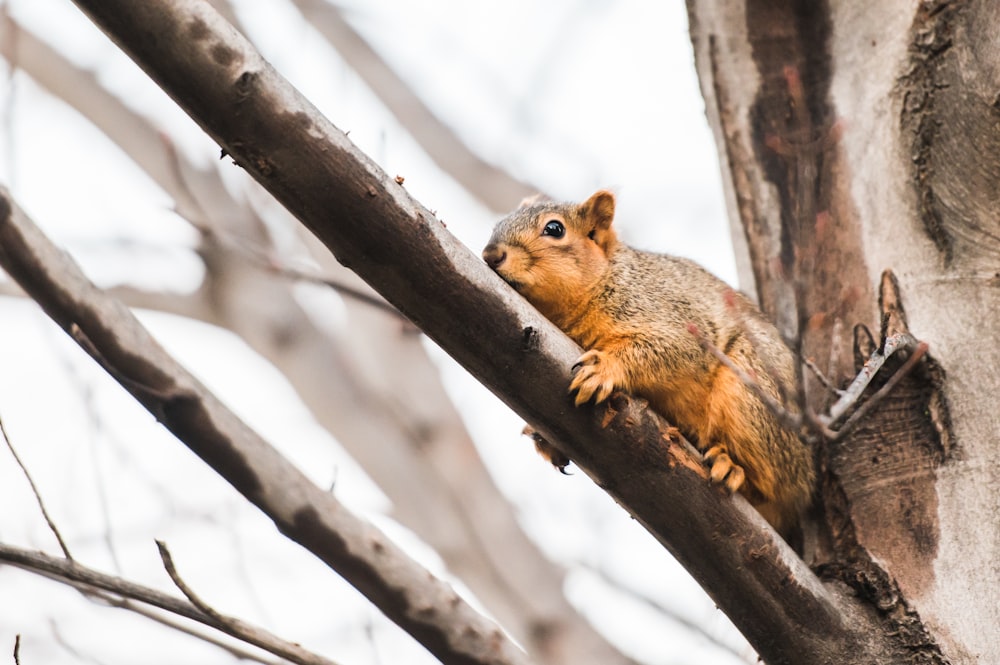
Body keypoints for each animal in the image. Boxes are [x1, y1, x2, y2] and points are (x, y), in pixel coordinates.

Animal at [480, 189, 816, 536]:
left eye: (555, 229)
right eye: (501, 222)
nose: (491, 254)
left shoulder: (670, 320)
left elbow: (669, 350)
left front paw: (604, 369)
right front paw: (543, 436)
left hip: (751, 396)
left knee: (779, 489)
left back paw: (731, 467)